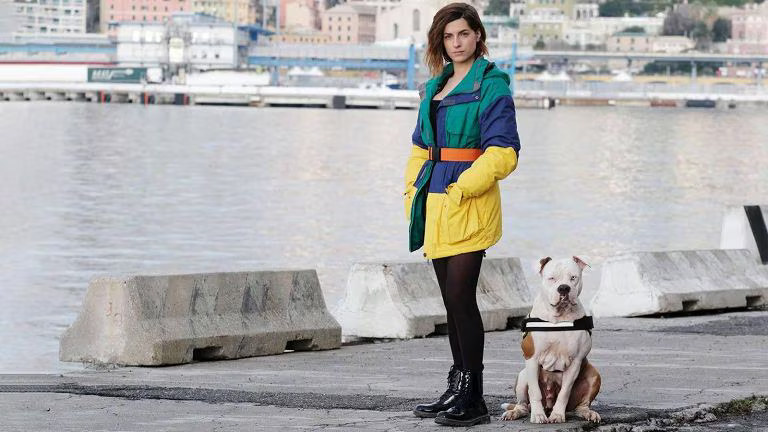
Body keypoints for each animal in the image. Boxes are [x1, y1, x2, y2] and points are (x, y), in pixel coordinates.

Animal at [500, 256, 601, 424]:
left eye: (573, 278)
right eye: (551, 278)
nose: (564, 288)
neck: (558, 319)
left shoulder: (575, 362)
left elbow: (564, 393)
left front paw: (558, 415)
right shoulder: (532, 359)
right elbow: (534, 392)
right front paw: (538, 415)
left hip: (594, 375)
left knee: (581, 405)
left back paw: (588, 413)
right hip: (522, 376)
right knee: (523, 404)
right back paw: (515, 412)